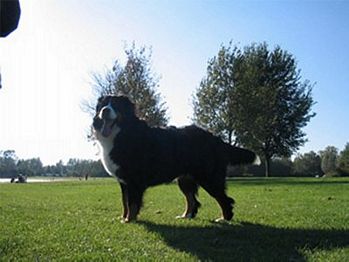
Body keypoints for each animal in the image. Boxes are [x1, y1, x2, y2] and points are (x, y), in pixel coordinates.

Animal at [92, 95, 258, 222]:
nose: (105, 110)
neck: (122, 133)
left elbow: (132, 203)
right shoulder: (123, 181)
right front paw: (124, 218)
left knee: (224, 199)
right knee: (192, 200)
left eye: (116, 105)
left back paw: (224, 218)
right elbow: (124, 202)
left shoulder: (134, 180)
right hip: (185, 179)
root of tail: (215, 138)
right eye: (103, 105)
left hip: (209, 178)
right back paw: (186, 216)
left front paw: (129, 220)